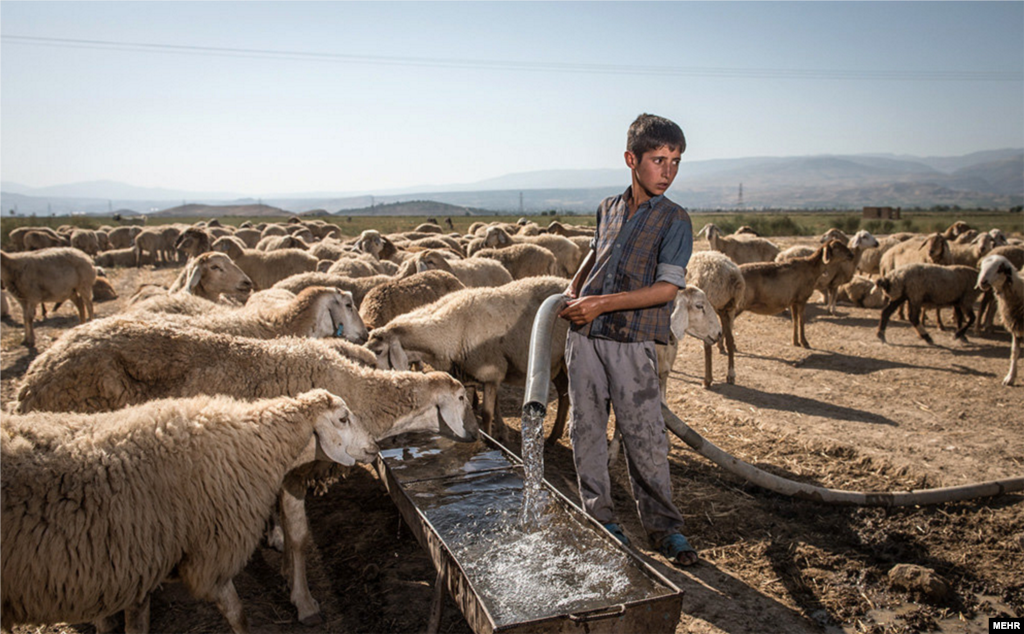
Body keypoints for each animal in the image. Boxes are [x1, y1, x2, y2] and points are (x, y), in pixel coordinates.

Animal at [1, 391, 376, 634]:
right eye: (343, 419)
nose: (374, 447)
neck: (253, 441)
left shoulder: (137, 563)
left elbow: (136, 624)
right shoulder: (208, 555)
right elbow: (238, 614)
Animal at [684, 250, 749, 385]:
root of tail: (733, 276)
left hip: (710, 306)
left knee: (708, 345)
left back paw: (707, 380)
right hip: (727, 309)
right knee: (730, 340)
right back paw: (730, 374)